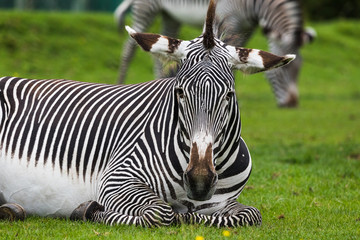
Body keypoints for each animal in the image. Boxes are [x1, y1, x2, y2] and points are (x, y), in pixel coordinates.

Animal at [0, 0, 294, 227]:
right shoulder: (117, 178)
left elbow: (249, 215)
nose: (199, 181)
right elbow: (160, 212)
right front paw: (90, 211)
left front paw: (190, 216)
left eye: (229, 96)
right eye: (179, 92)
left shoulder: (224, 202)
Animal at [115, 0, 316, 107]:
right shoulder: (227, 15)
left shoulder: (247, 27)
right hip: (147, 6)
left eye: (299, 69)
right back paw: (121, 82)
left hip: (169, 14)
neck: (256, 5)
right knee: (129, 47)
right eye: (281, 71)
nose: (292, 104)